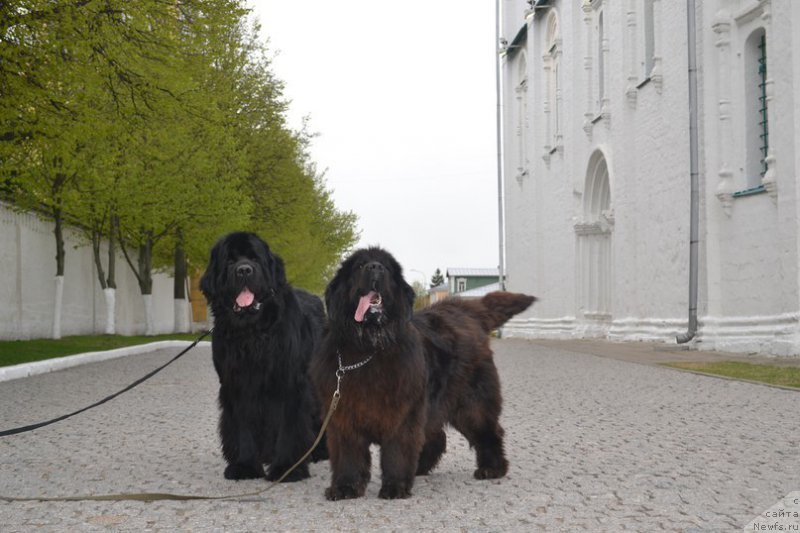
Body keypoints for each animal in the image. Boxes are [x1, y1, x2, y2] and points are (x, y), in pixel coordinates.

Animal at [202, 231, 326, 480]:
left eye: (254, 258)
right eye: (230, 261)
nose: (244, 270)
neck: (252, 333)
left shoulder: (290, 383)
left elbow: (289, 427)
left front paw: (287, 468)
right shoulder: (237, 385)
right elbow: (243, 427)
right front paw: (245, 466)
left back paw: (319, 452)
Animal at [310, 246, 536, 498]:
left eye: (386, 267)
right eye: (359, 265)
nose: (375, 267)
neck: (369, 348)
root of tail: (465, 311)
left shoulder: (402, 409)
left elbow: (397, 449)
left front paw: (395, 486)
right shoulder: (344, 414)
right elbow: (348, 454)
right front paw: (345, 486)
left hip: (470, 403)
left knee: (488, 430)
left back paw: (492, 468)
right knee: (437, 436)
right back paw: (420, 468)